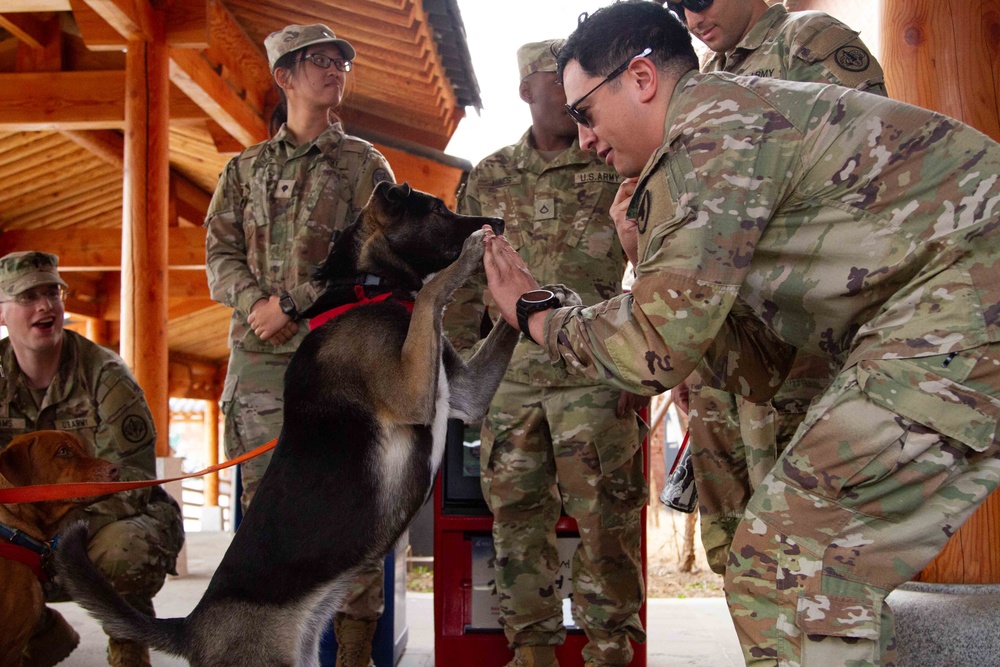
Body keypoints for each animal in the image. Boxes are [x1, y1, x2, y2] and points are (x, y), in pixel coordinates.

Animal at [52, 183, 524, 667]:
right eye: (438, 210)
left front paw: (526, 292)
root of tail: (191, 629)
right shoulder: (412, 396)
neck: (368, 289)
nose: (500, 223)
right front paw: (472, 256)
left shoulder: (466, 394)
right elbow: (433, 292)